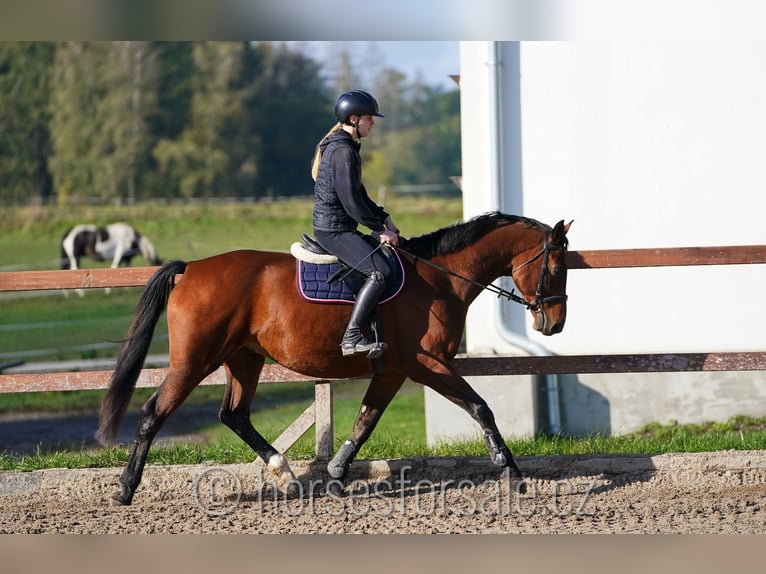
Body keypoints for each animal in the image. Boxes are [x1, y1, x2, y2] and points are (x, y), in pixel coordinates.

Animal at [99, 212, 572, 504]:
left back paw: (286, 475)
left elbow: (365, 422)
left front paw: (338, 474)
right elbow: (481, 407)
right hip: (194, 362)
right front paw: (511, 471)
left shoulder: (394, 370)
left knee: (234, 415)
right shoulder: (428, 365)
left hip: (243, 359)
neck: (438, 279)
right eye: (555, 268)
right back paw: (126, 488)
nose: (554, 324)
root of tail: (192, 269)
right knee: (153, 412)